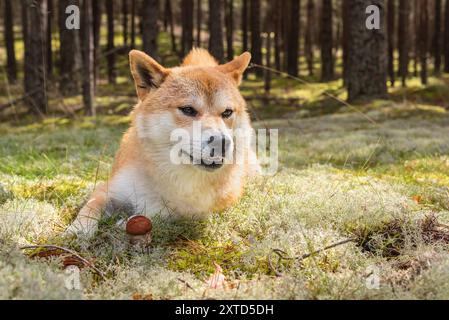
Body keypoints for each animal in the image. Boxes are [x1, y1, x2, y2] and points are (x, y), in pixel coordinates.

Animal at [66, 48, 260, 238]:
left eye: (227, 112)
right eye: (188, 110)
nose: (221, 142)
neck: (169, 175)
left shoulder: (202, 210)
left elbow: (163, 213)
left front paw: (126, 222)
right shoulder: (108, 189)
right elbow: (91, 206)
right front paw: (80, 228)